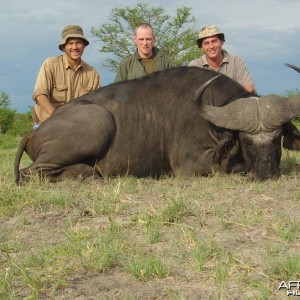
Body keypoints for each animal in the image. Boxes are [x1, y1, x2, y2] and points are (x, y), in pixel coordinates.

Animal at [14, 66, 300, 183]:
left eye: (277, 138)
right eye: (244, 140)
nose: (265, 173)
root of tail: (33, 133)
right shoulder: (192, 165)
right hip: (98, 121)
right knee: (31, 173)